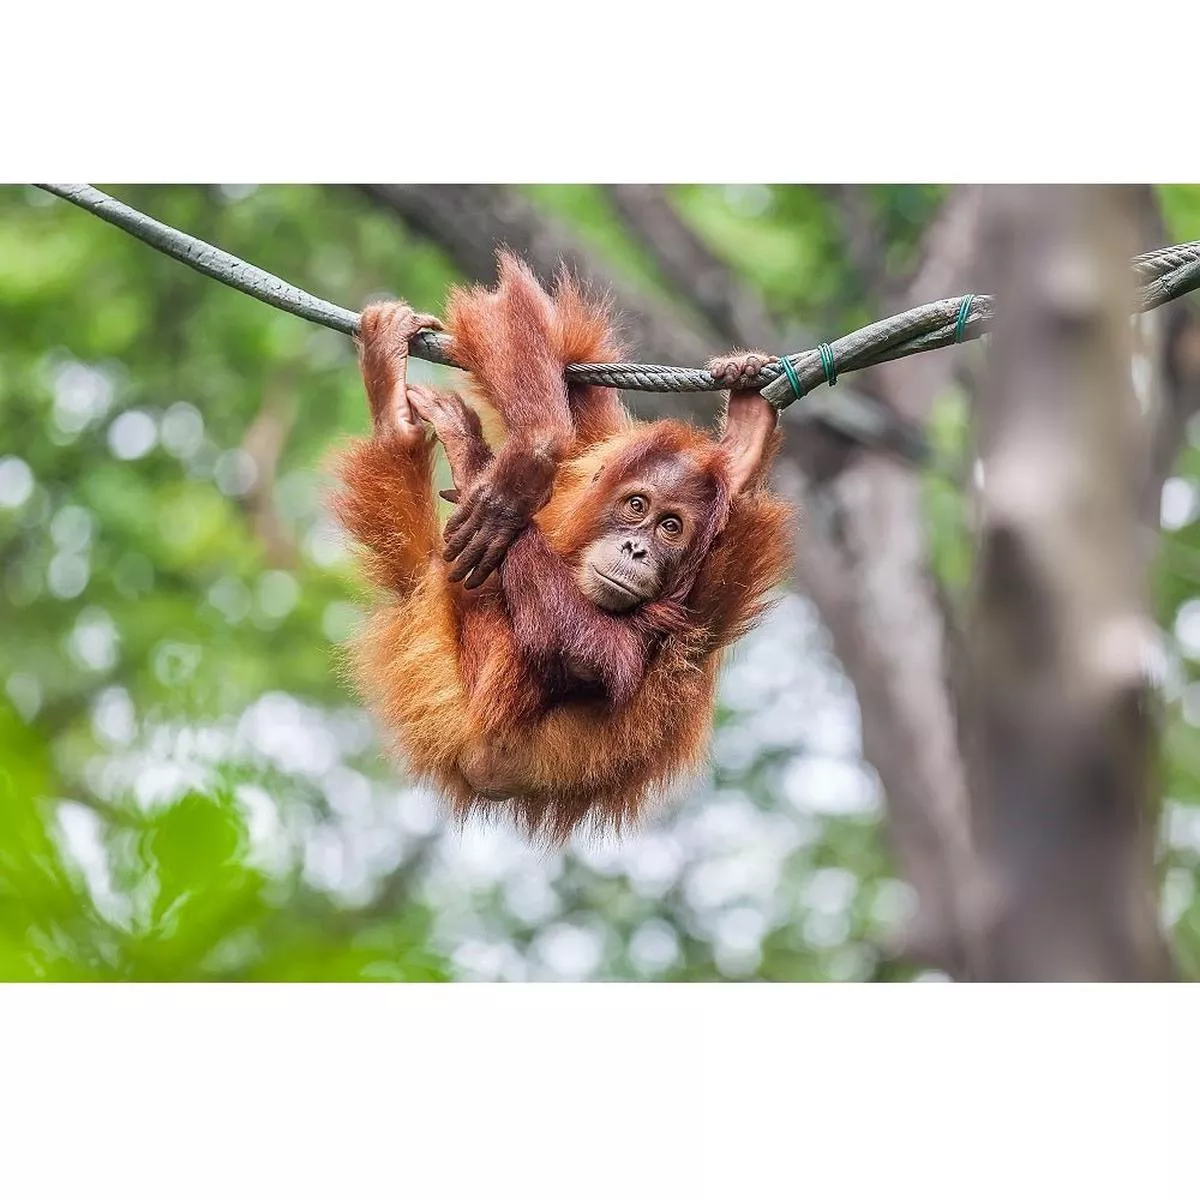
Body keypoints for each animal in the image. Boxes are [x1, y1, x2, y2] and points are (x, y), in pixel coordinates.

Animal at [331, 253, 793, 841]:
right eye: (637, 506)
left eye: (671, 527)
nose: (637, 551)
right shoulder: (600, 452)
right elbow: (524, 331)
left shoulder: (695, 601)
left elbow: (596, 655)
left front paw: (493, 477)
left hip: (450, 686)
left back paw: (416, 432)